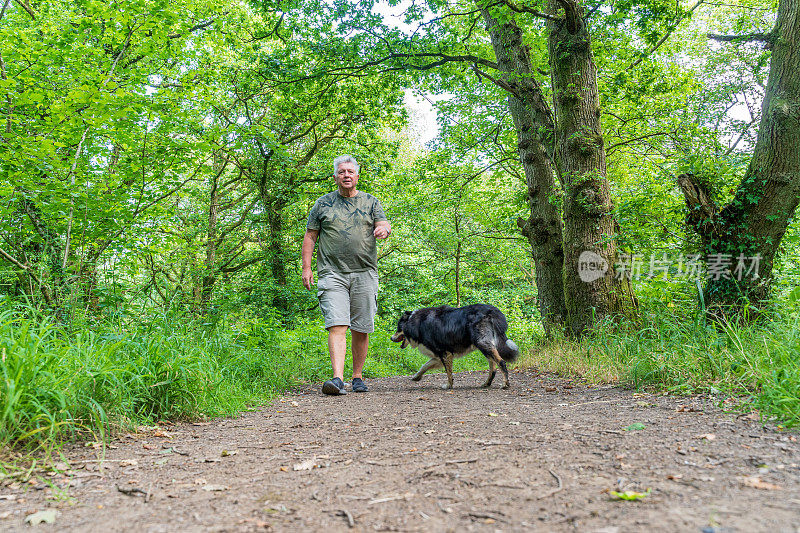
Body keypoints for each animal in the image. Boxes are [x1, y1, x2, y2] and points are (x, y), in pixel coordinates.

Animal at [390, 304, 520, 386]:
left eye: (398, 328)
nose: (391, 338)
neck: (416, 323)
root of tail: (492, 312)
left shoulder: (444, 353)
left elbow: (448, 373)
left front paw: (449, 385)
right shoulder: (438, 356)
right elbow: (425, 366)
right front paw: (416, 377)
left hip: (483, 344)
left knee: (501, 362)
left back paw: (505, 384)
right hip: (485, 346)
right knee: (493, 368)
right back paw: (486, 384)